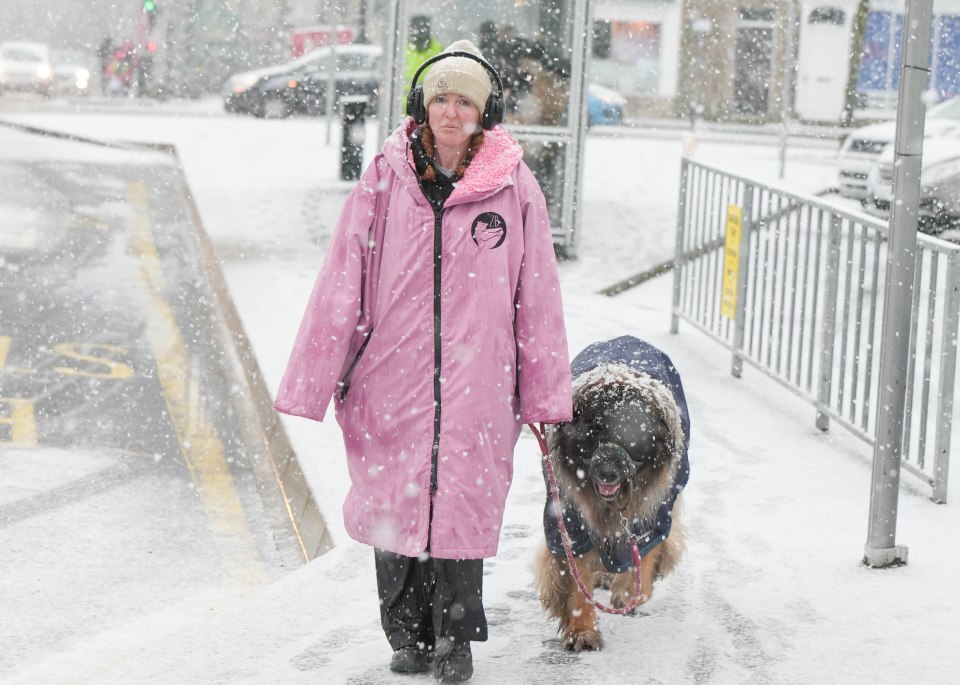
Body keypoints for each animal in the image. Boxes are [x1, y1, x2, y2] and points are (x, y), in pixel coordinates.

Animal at [532, 340, 688, 648]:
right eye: (594, 429)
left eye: (635, 433)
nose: (607, 472)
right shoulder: (566, 516)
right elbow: (575, 574)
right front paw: (582, 629)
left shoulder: (656, 511)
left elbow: (646, 554)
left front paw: (628, 591)